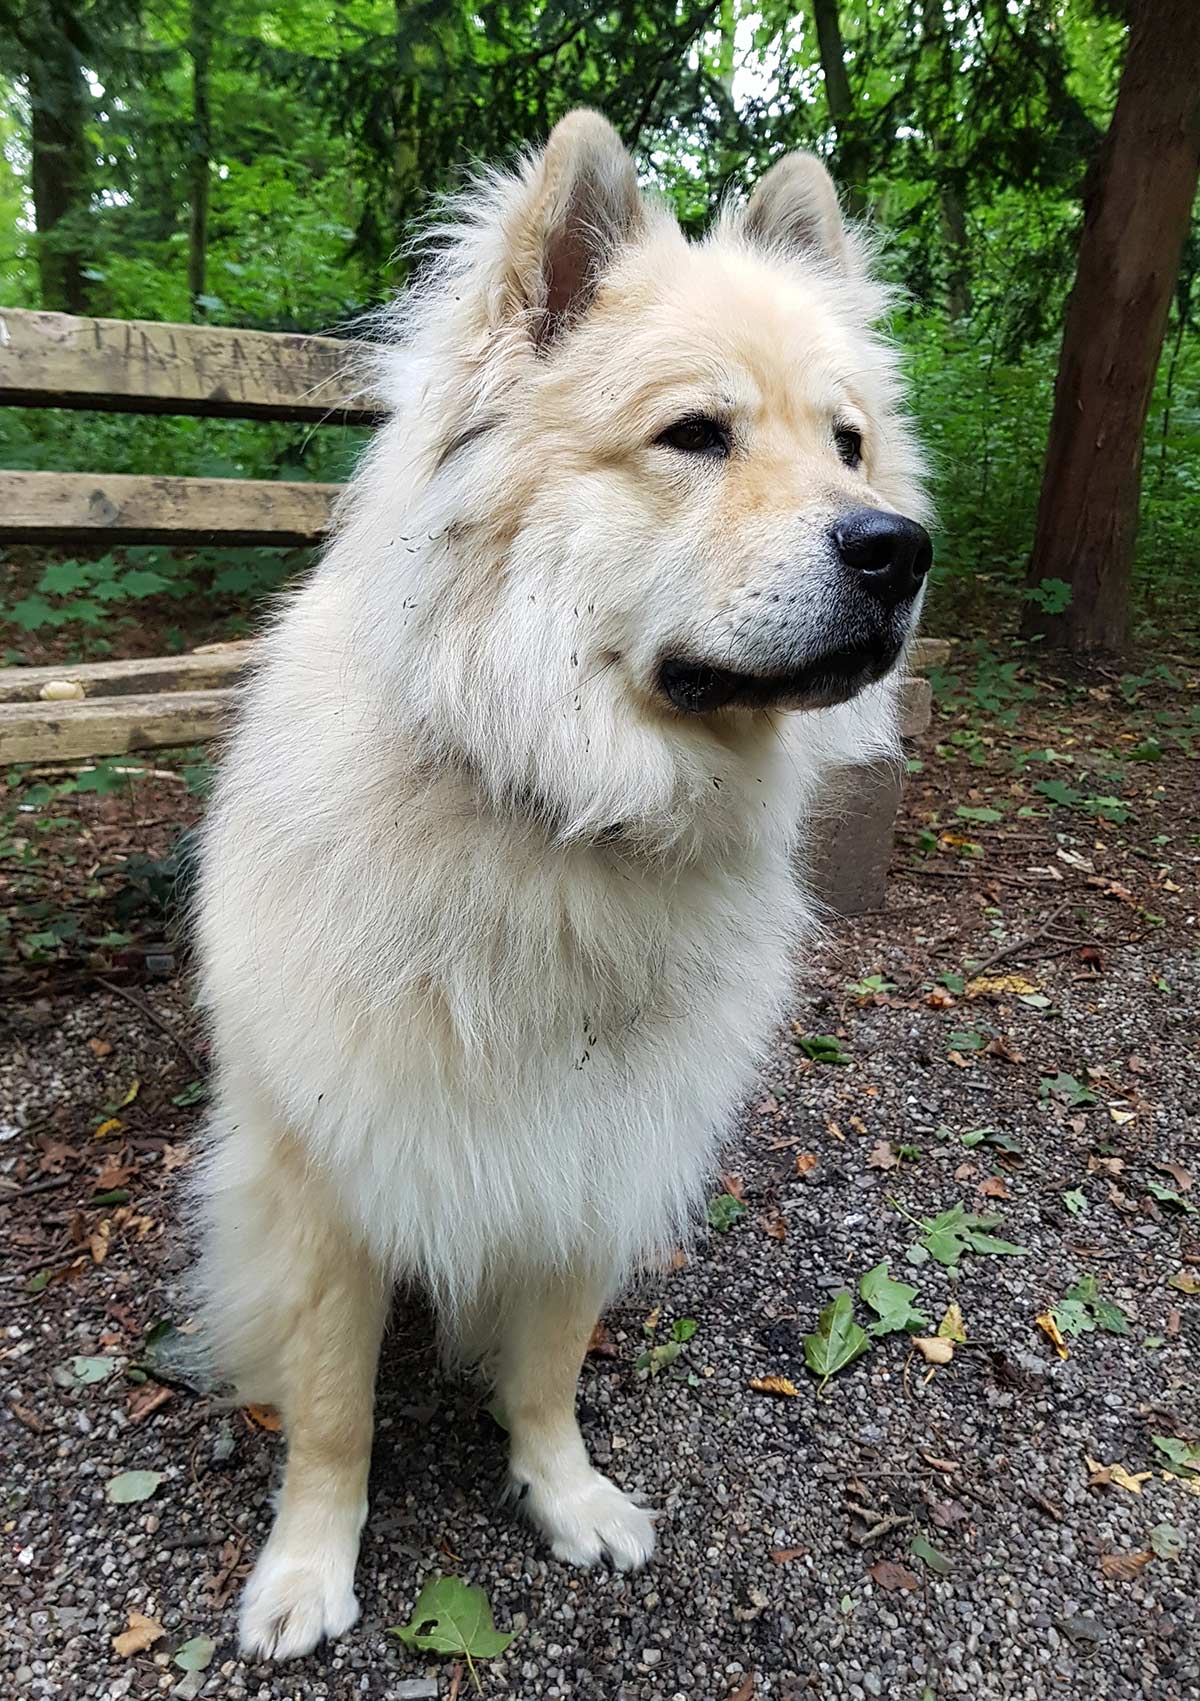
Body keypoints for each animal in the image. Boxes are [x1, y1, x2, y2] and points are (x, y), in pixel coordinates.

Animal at [194, 109, 925, 1660]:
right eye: (697, 435)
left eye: (848, 445)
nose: (900, 550)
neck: (561, 810)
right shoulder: (329, 1180)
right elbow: (335, 1416)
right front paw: (307, 1568)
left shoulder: (595, 1150)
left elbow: (547, 1369)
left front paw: (562, 1492)